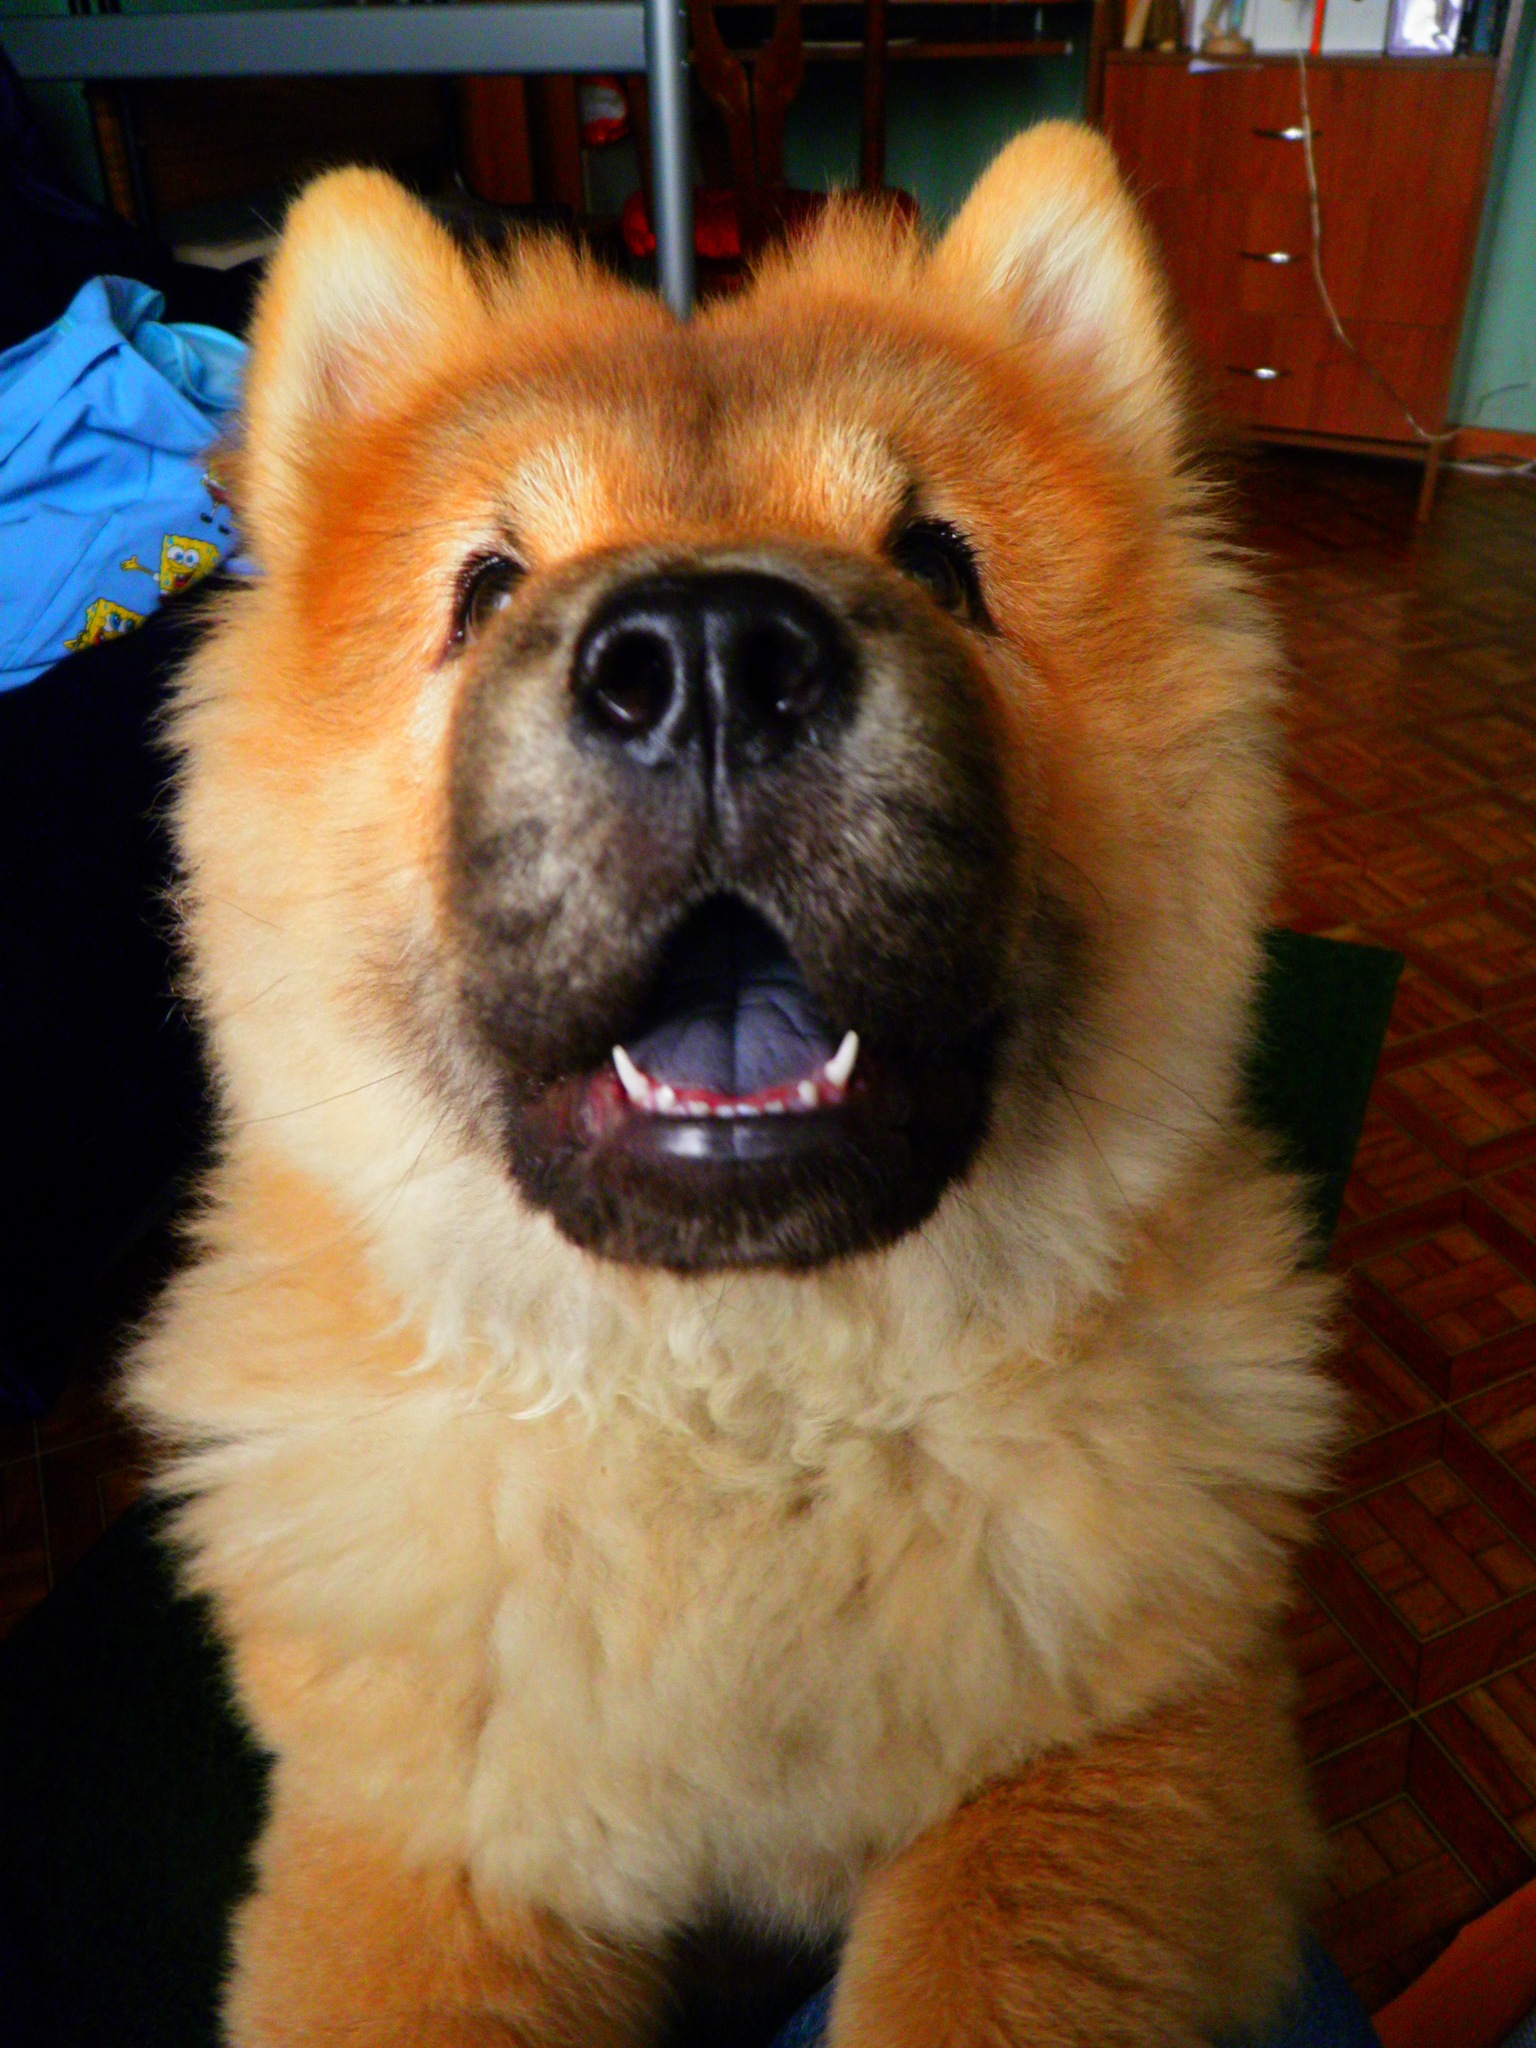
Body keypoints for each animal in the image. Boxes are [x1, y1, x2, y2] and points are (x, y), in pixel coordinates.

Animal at [128, 122, 1340, 2047]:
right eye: (483, 589)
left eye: (941, 562)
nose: (704, 656)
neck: (737, 1423)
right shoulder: (430, 1838)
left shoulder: (1134, 1744)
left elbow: (990, 1964)